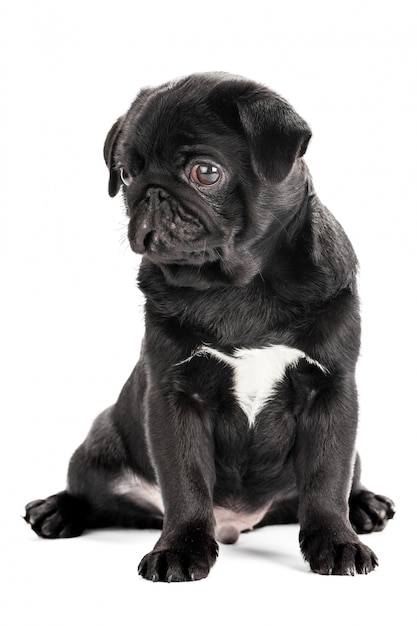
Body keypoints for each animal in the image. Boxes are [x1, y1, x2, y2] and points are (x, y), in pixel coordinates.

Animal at [24, 73, 394, 580]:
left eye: (205, 172)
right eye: (125, 175)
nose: (151, 191)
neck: (236, 287)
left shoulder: (331, 391)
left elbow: (326, 479)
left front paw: (337, 542)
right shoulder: (176, 397)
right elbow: (185, 482)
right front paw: (180, 548)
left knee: (340, 479)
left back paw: (365, 505)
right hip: (102, 439)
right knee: (90, 490)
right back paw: (57, 510)